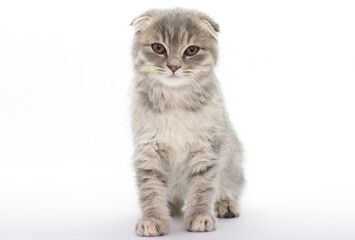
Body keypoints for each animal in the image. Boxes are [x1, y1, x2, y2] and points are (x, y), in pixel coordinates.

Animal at [131, 7, 245, 236]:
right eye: (158, 48)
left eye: (191, 50)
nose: (174, 66)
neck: (175, 100)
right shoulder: (148, 150)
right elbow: (151, 190)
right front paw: (153, 219)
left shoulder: (206, 150)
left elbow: (203, 188)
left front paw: (200, 217)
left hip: (234, 161)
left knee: (229, 187)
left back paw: (225, 204)